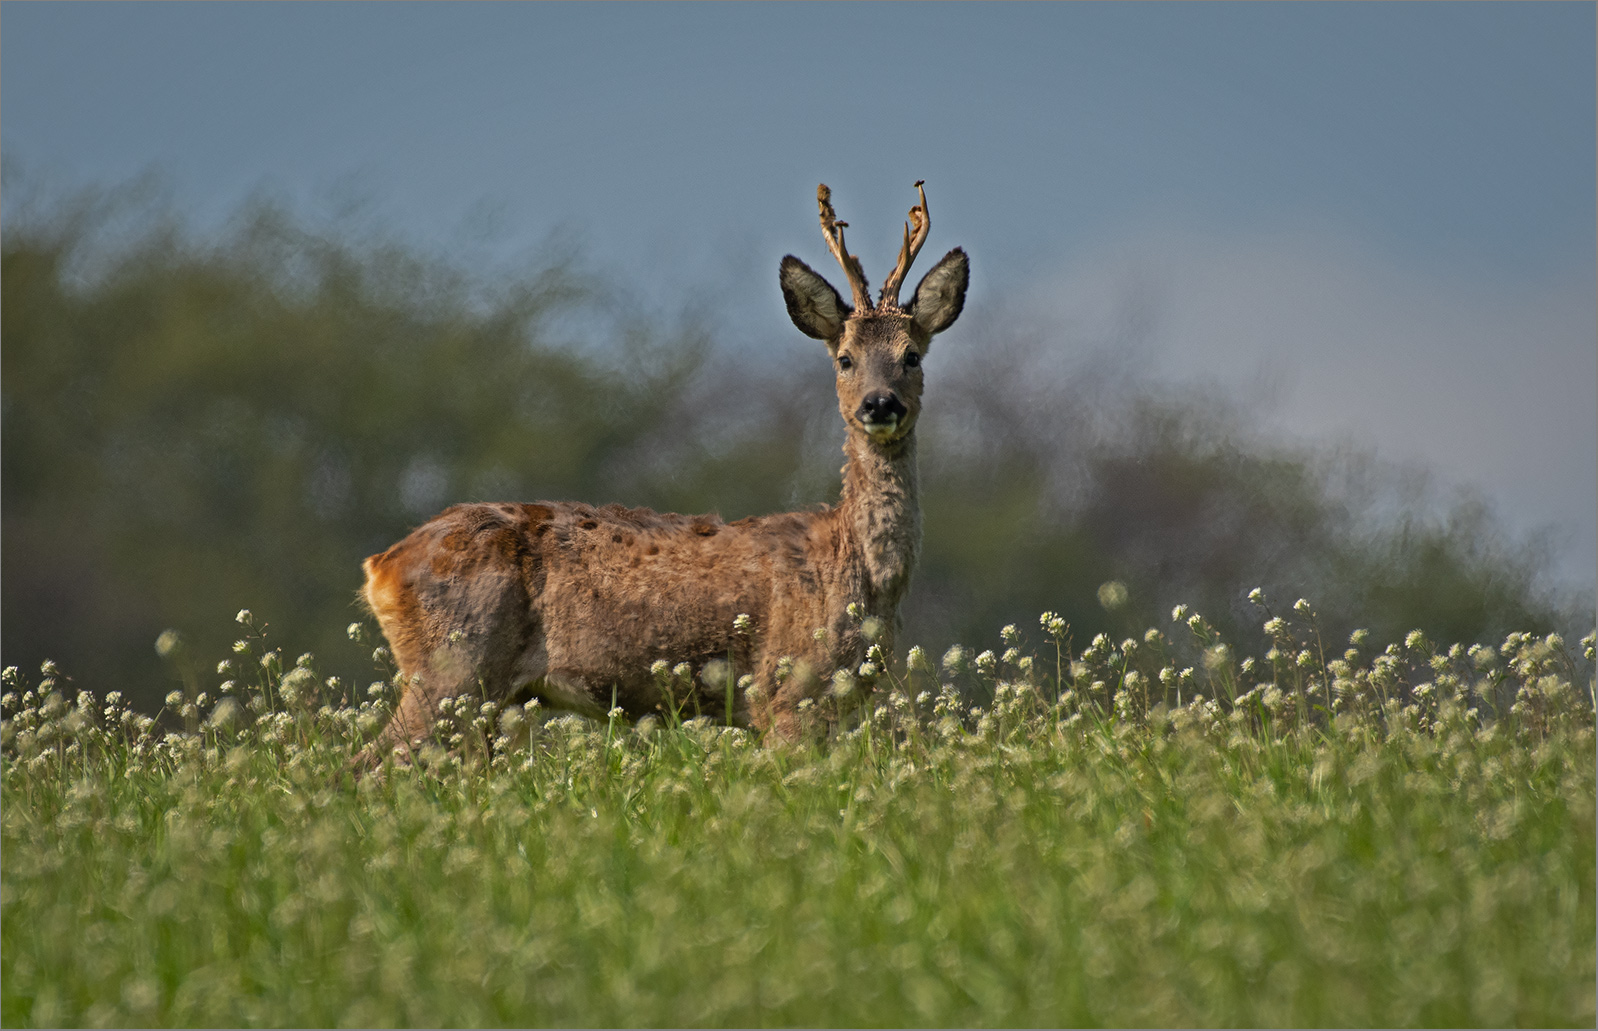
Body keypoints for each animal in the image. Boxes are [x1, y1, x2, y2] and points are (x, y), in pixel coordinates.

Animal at [357, 183, 965, 764]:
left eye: (912, 356)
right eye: (844, 359)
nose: (880, 404)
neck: (856, 569)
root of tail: (380, 566)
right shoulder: (785, 693)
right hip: (453, 667)